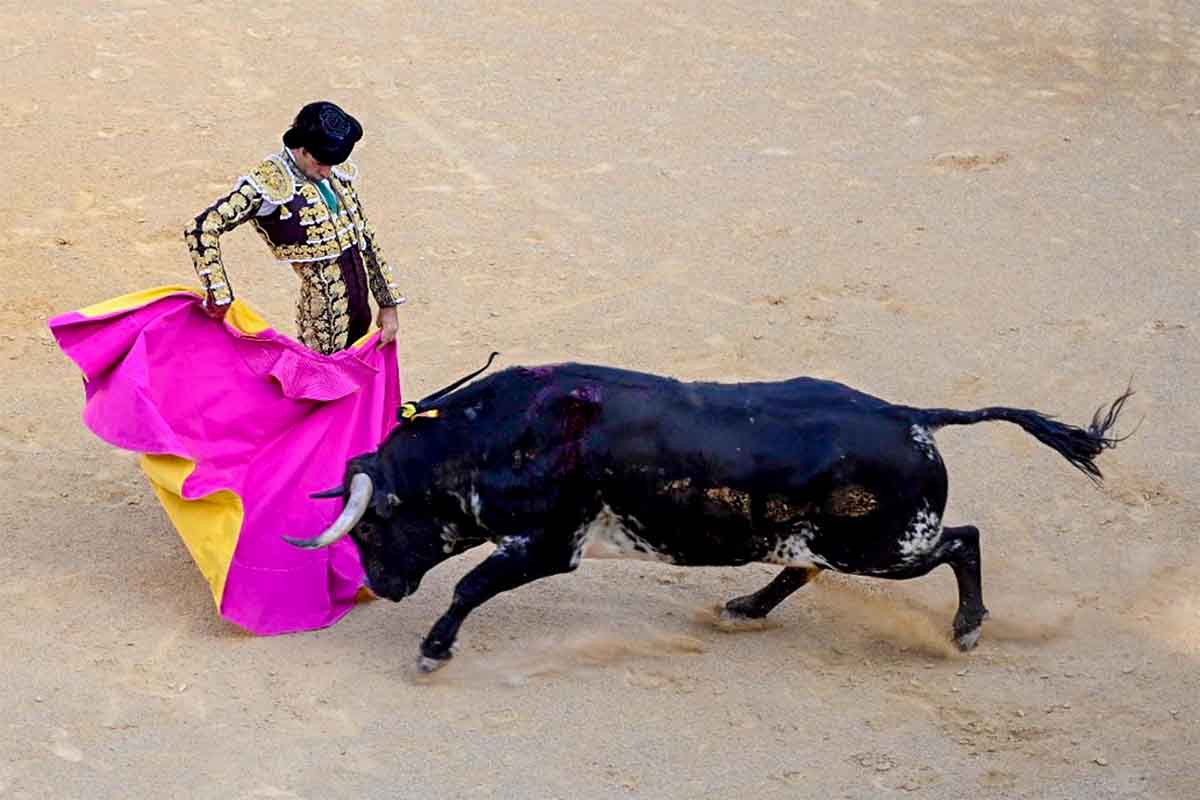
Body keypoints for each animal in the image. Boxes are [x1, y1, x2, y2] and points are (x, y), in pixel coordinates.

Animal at [280, 367, 1123, 671]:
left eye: (370, 526)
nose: (384, 588)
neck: (502, 434)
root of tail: (913, 416)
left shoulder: (549, 545)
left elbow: (469, 588)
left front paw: (432, 651)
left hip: (885, 548)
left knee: (964, 540)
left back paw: (968, 630)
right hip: (834, 541)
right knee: (799, 569)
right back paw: (742, 606)